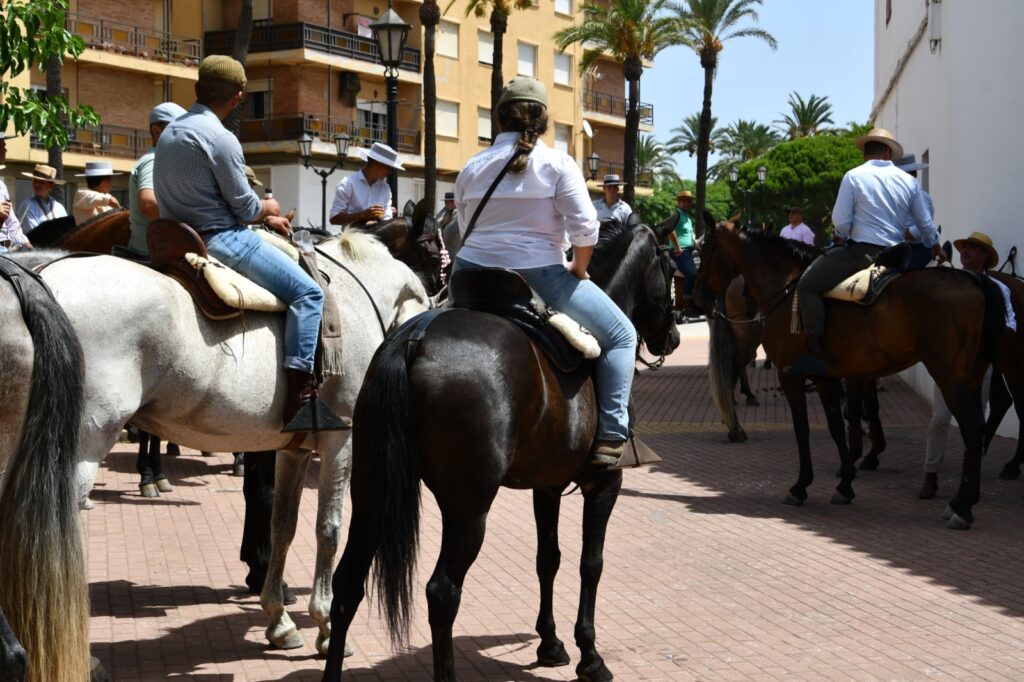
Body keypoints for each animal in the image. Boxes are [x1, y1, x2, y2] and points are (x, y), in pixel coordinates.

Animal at [0, 229, 430, 679]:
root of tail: (37, 281)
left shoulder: (294, 451)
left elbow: (283, 526)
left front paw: (278, 619)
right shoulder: (340, 440)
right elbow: (327, 531)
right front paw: (326, 625)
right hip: (78, 450)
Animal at [321, 219, 679, 679]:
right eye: (671, 269)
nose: (673, 336)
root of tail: (414, 340)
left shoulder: (547, 485)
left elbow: (549, 558)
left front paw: (550, 643)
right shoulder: (604, 483)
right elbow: (591, 563)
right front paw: (590, 655)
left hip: (372, 492)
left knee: (348, 583)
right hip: (468, 508)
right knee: (442, 592)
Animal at [692, 220, 1003, 528]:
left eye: (706, 250)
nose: (697, 298)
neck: (786, 286)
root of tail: (975, 280)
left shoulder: (790, 374)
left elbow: (803, 428)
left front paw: (801, 486)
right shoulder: (827, 377)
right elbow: (836, 426)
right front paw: (845, 484)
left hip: (951, 378)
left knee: (972, 428)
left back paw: (962, 506)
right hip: (972, 377)